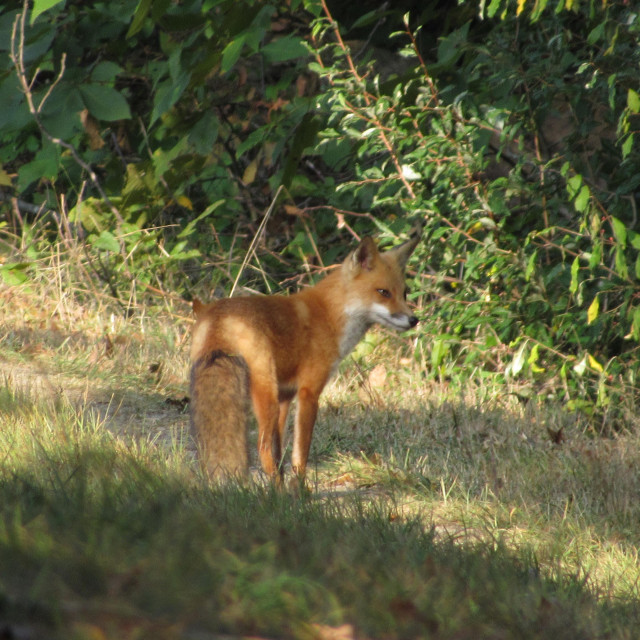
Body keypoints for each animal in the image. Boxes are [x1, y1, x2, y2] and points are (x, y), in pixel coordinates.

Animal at [190, 234, 420, 480]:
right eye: (384, 292)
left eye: (404, 293)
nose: (413, 320)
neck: (329, 316)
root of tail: (220, 315)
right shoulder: (309, 391)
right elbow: (300, 455)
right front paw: (300, 488)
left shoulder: (286, 395)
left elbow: (280, 451)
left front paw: (286, 484)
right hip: (266, 395)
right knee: (262, 449)